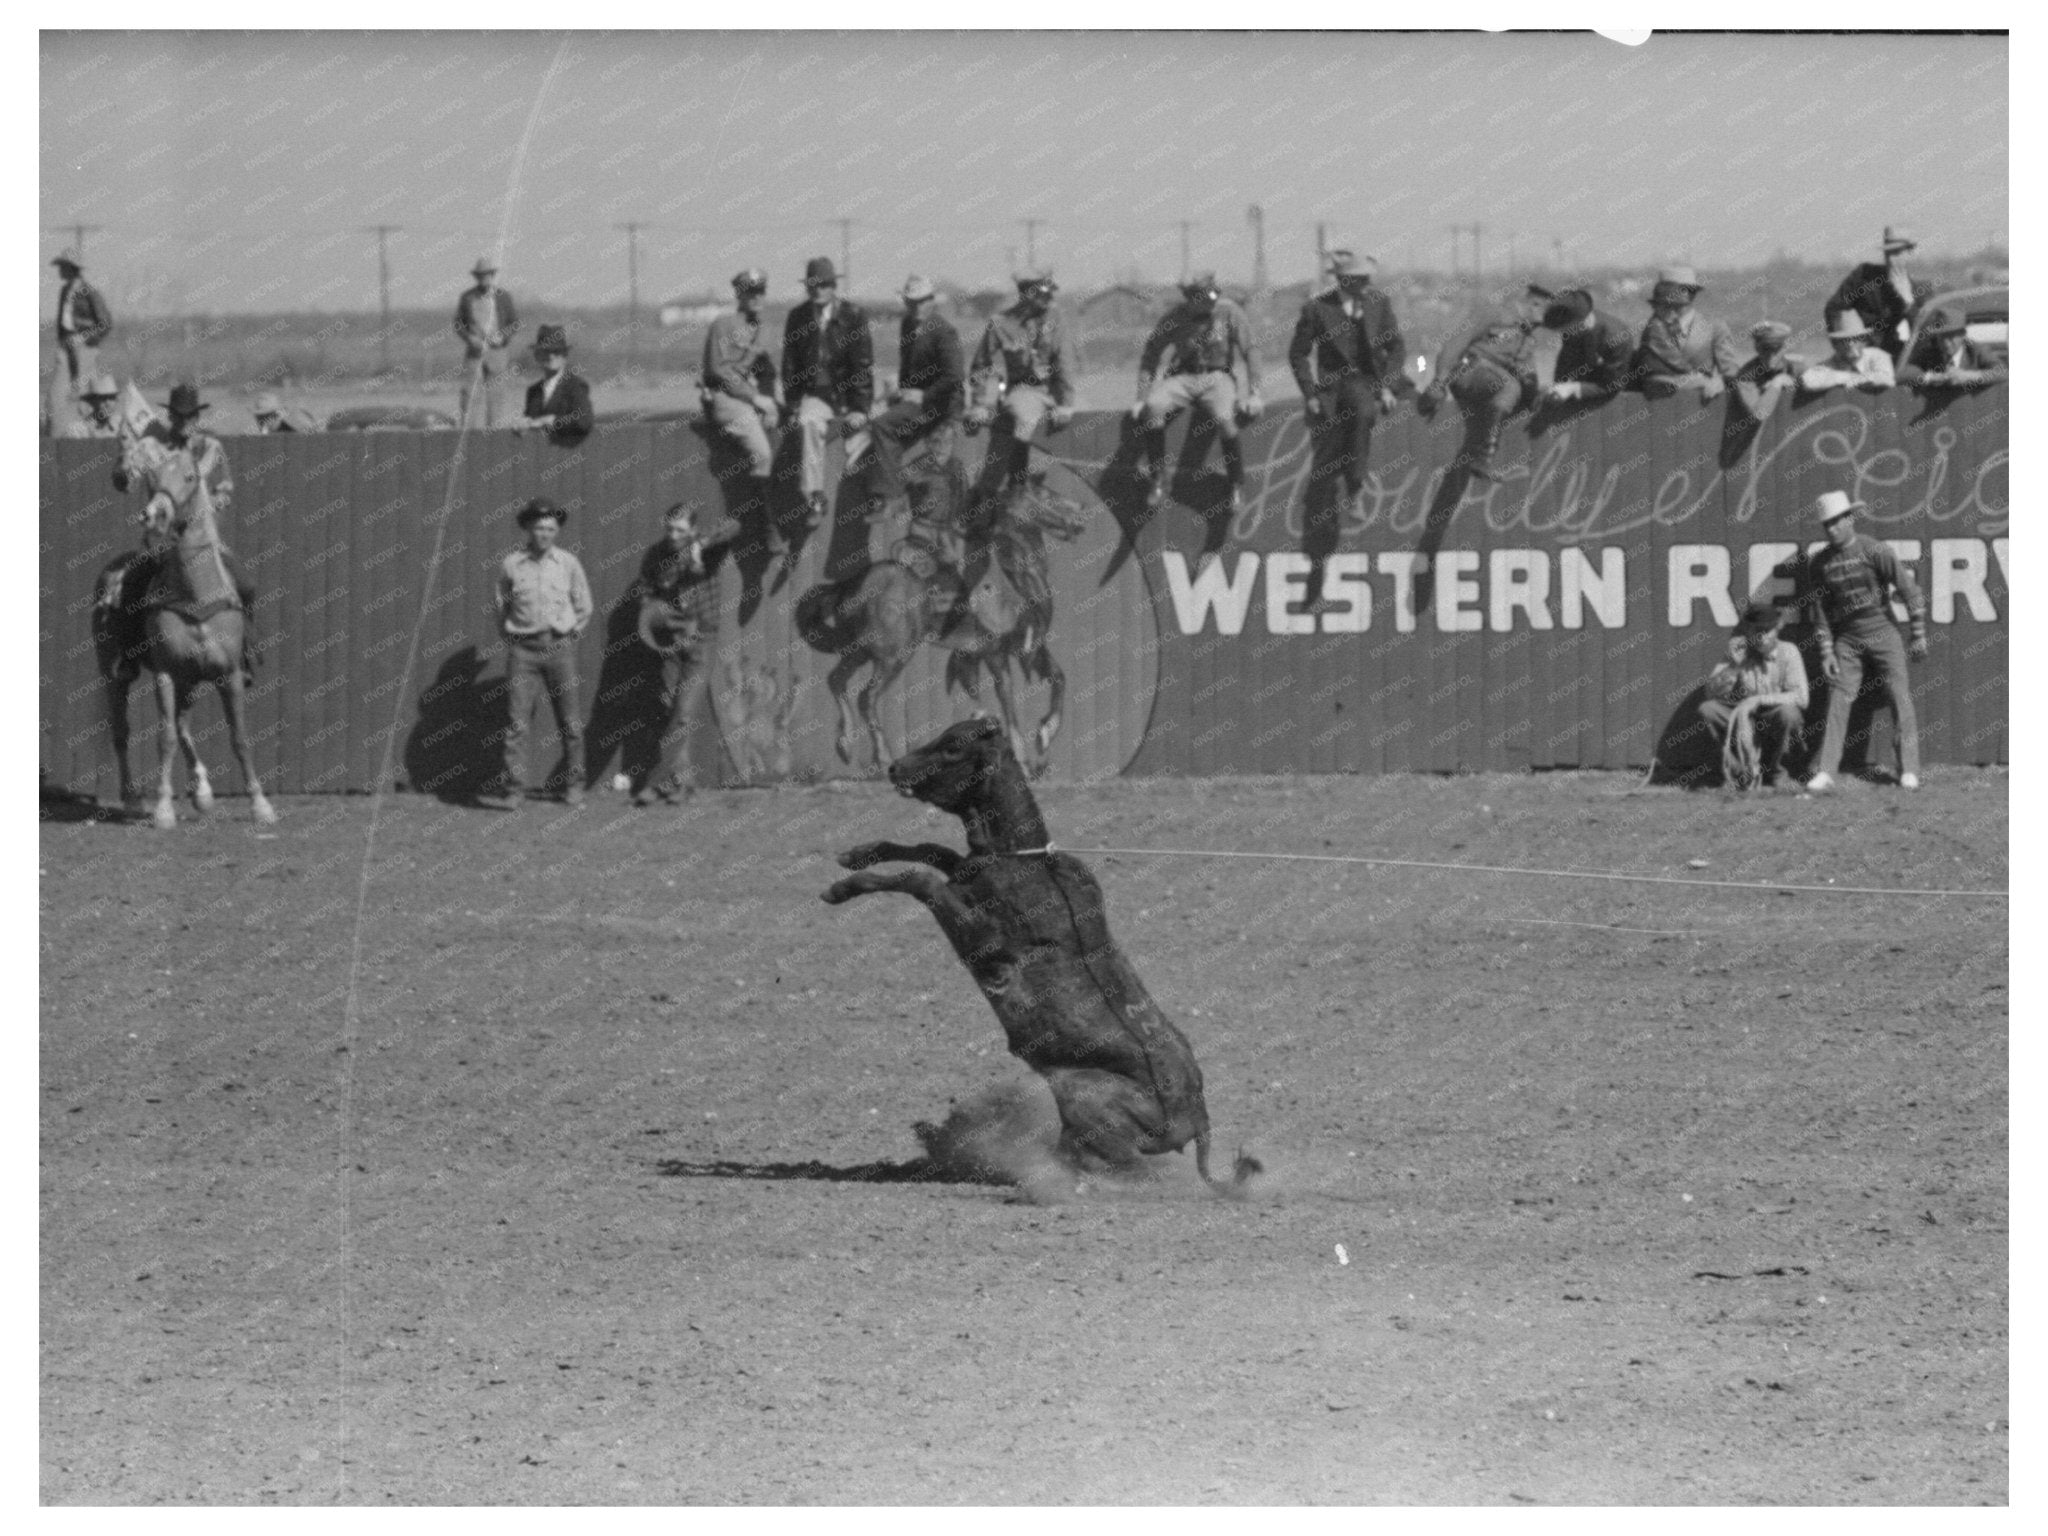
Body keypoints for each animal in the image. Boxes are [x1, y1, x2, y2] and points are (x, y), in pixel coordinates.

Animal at [822, 715, 1259, 1192]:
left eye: (954, 746)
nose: (895, 767)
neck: (1017, 857)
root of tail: (1198, 1121)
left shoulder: (987, 945)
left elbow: (921, 878)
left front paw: (842, 888)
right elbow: (933, 852)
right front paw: (857, 854)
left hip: (1080, 1092)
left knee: (1124, 1166)